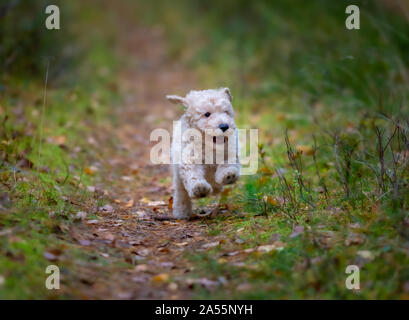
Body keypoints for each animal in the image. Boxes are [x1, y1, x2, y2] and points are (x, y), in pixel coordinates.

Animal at [165, 87, 239, 219]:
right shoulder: (190, 158)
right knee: (181, 192)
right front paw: (200, 188)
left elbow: (228, 164)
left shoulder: (230, 152)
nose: (224, 126)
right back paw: (181, 211)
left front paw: (228, 175)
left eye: (226, 112)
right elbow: (193, 174)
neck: (210, 145)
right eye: (207, 114)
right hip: (178, 176)